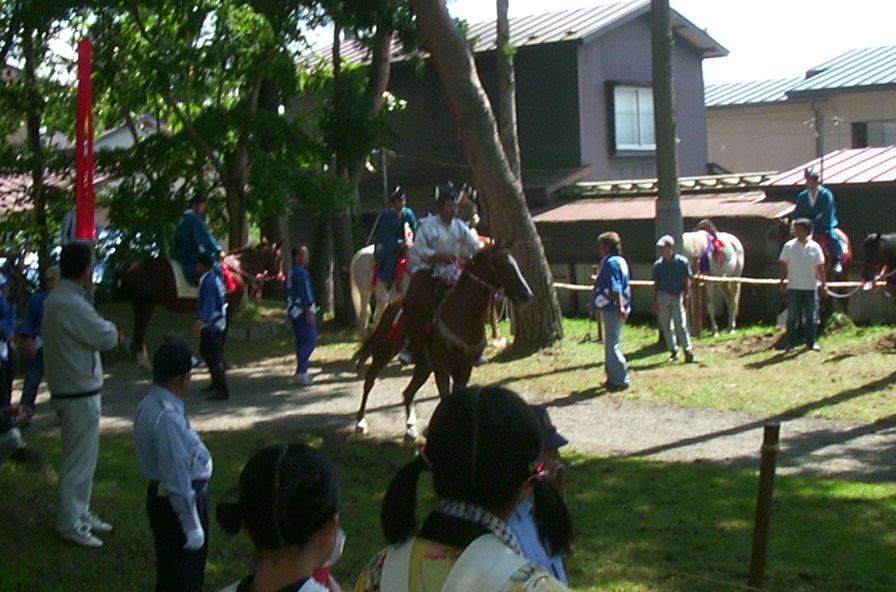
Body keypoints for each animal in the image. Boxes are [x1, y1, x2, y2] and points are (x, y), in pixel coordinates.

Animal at [117, 240, 282, 366]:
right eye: (280, 258)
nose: (280, 276)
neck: (237, 270)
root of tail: (131, 266)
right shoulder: (227, 311)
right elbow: (222, 335)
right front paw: (222, 362)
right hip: (145, 306)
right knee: (139, 333)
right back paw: (145, 363)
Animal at [350, 243, 532, 438]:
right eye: (503, 266)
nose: (527, 295)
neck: (463, 315)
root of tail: (392, 308)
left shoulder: (463, 368)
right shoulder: (442, 369)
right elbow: (445, 398)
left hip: (423, 366)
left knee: (408, 392)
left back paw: (410, 428)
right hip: (383, 351)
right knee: (369, 381)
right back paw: (360, 422)